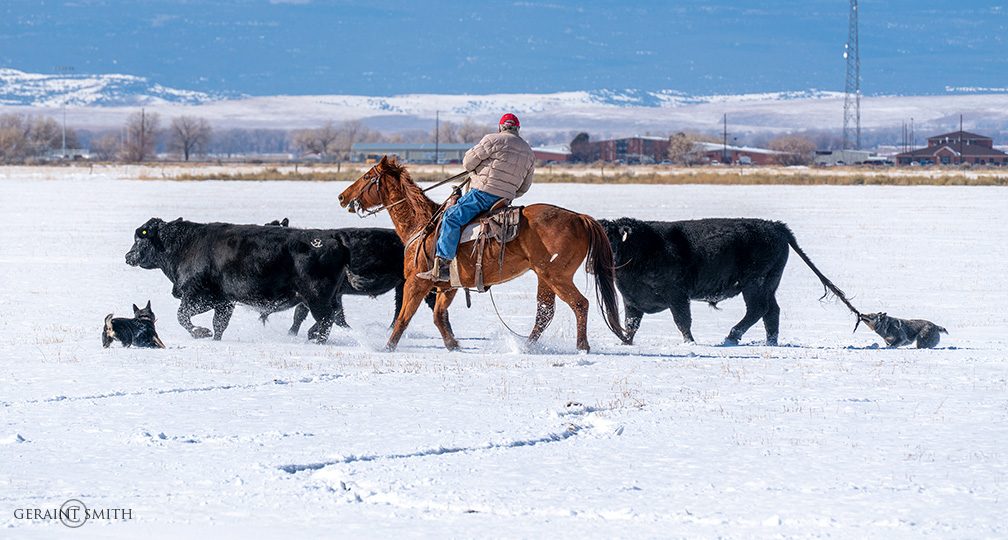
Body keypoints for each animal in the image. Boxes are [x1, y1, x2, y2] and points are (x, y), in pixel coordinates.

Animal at [124, 217, 356, 344]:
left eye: (139, 237)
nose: (128, 256)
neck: (185, 244)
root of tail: (333, 239)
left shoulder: (197, 296)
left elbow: (182, 316)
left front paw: (201, 333)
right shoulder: (224, 302)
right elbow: (219, 325)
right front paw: (213, 337)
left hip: (317, 299)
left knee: (325, 321)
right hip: (327, 299)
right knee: (333, 318)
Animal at [338, 154, 624, 352]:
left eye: (367, 176)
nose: (342, 197)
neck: (423, 225)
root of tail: (579, 217)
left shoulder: (416, 282)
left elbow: (404, 317)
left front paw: (386, 347)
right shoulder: (449, 286)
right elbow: (439, 317)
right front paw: (453, 346)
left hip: (557, 275)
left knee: (579, 304)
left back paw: (582, 347)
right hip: (544, 276)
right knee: (545, 313)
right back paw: (527, 347)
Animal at [596, 216, 858, 346]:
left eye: (611, 239)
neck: (643, 247)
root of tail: (775, 226)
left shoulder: (677, 296)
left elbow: (682, 321)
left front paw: (690, 344)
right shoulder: (631, 300)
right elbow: (631, 325)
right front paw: (625, 344)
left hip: (755, 284)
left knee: (758, 309)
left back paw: (731, 337)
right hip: (768, 284)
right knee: (771, 311)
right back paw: (770, 341)